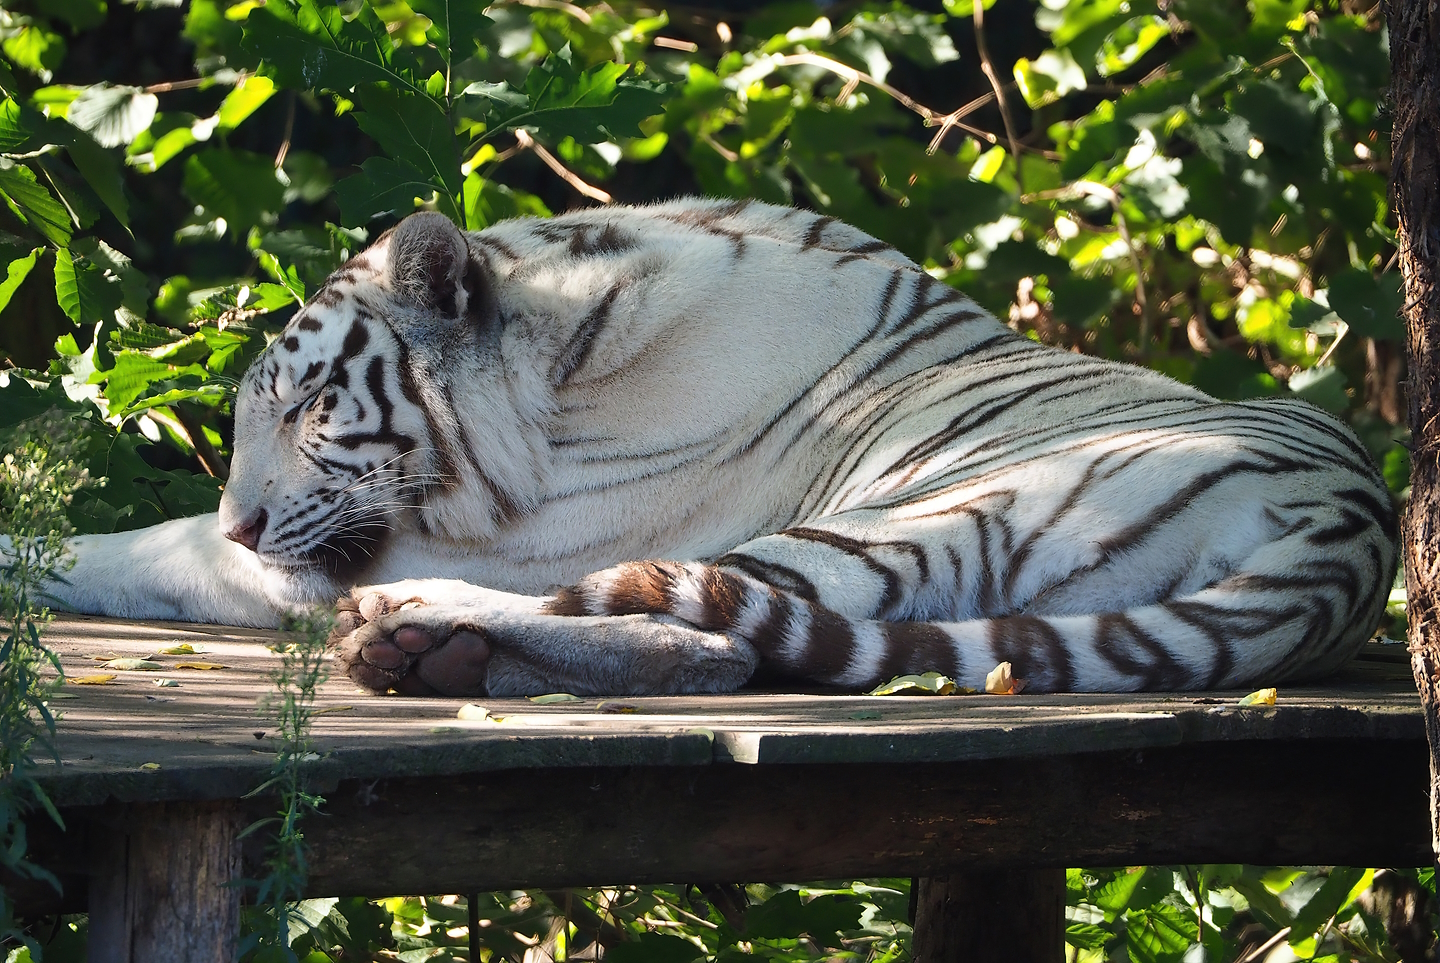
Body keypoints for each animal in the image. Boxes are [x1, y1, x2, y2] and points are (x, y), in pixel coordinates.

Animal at [37, 198, 1397, 697]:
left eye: (311, 405)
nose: (247, 518)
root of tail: (1349, 533)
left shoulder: (480, 536)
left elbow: (149, 549)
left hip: (930, 512)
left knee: (714, 638)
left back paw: (417, 631)